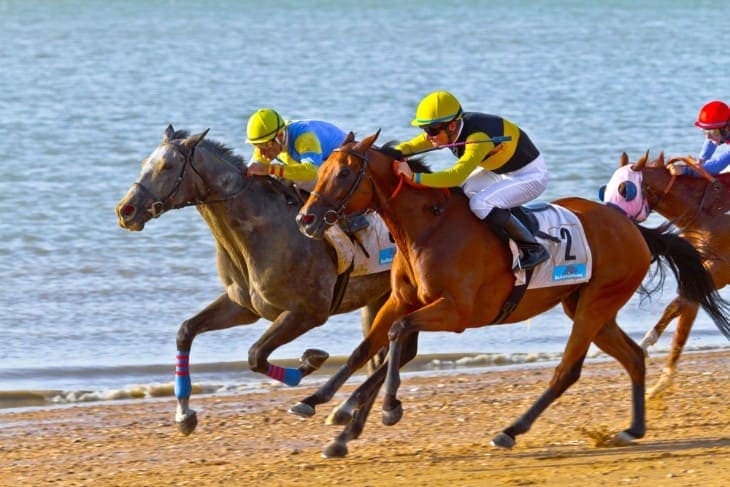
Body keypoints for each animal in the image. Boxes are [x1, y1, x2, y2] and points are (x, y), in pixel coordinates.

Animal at [115, 125, 391, 438]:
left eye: (167, 166)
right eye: (143, 164)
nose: (125, 210)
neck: (262, 231)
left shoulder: (308, 312)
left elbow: (255, 355)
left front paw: (310, 360)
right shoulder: (243, 306)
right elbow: (186, 331)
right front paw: (184, 414)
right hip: (379, 298)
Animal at [602, 152, 729, 397]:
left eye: (624, 189)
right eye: (605, 187)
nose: (609, 220)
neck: (707, 213)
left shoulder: (720, 270)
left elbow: (678, 305)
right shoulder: (696, 270)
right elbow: (683, 314)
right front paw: (660, 382)